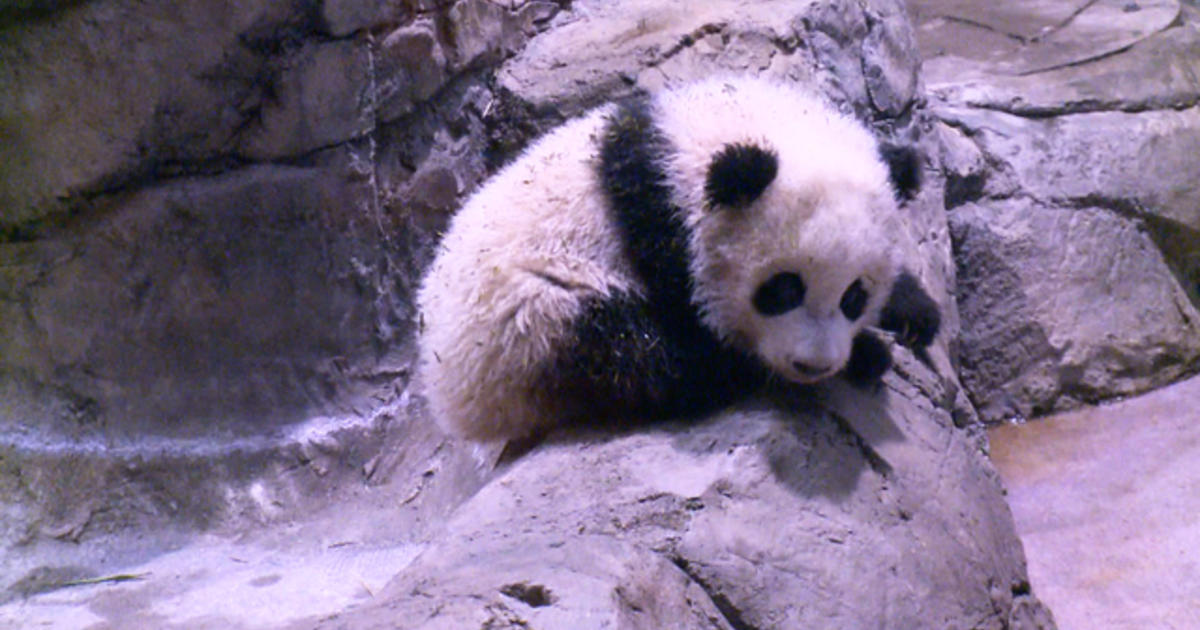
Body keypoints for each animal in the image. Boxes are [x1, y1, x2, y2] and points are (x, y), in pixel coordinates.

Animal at [417, 76, 940, 441]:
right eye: (782, 289)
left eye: (854, 296)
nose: (813, 365)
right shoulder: (656, 223)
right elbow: (692, 315)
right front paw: (867, 351)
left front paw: (912, 312)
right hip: (532, 322)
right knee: (641, 354)